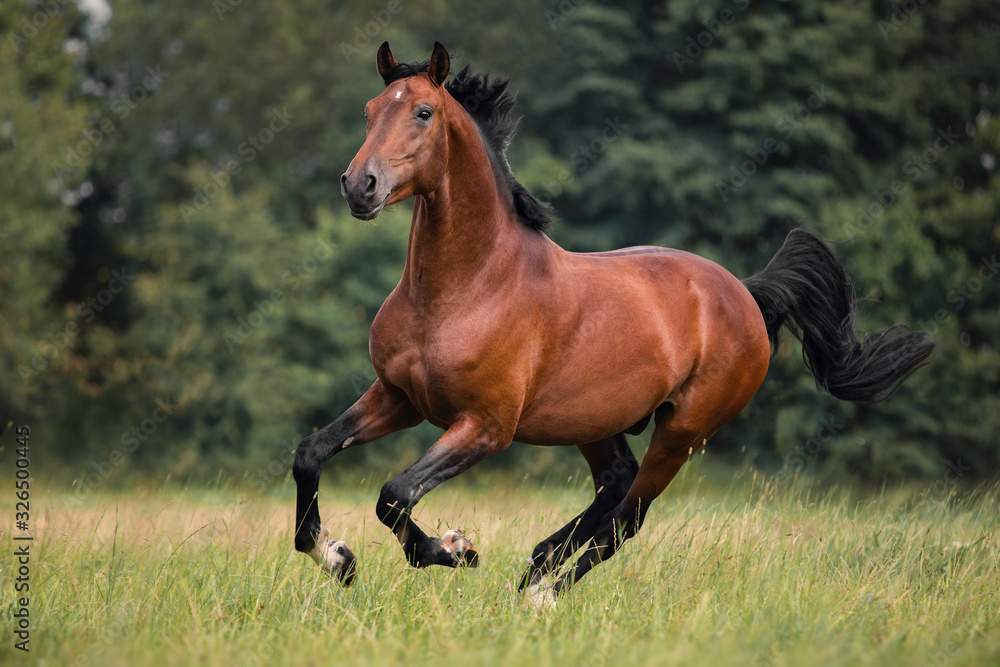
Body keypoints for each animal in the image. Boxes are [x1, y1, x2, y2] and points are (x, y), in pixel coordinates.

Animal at [292, 41, 932, 600]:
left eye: (423, 111)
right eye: (370, 110)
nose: (360, 186)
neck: (463, 290)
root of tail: (746, 294)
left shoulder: (485, 427)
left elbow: (395, 493)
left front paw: (455, 549)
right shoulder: (399, 396)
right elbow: (312, 454)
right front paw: (337, 557)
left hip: (682, 433)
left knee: (628, 517)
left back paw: (541, 593)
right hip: (596, 421)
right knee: (614, 487)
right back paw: (536, 565)